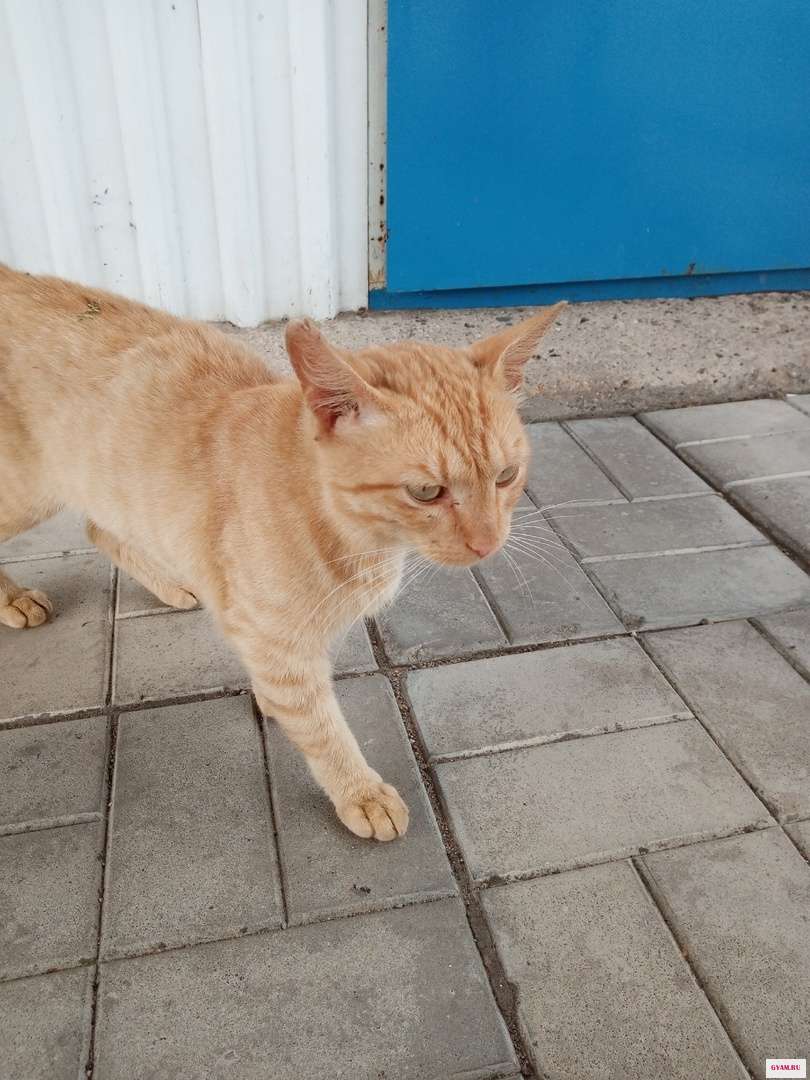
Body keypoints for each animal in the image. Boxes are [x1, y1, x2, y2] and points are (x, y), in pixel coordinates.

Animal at [0, 264, 564, 840]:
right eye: (426, 492)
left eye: (506, 476)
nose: (488, 543)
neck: (359, 538)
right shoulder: (276, 638)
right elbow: (320, 723)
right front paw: (359, 791)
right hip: (29, 493)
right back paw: (14, 600)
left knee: (100, 528)